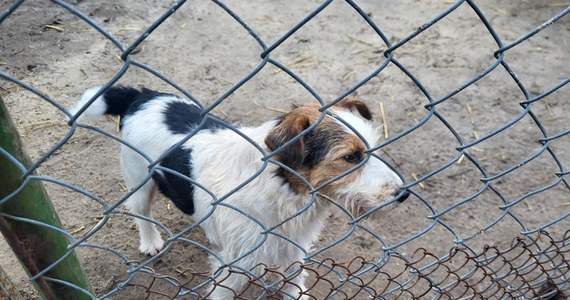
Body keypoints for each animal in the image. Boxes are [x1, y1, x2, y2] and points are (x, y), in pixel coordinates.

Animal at [70, 85, 408, 298]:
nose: (404, 194)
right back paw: (151, 241)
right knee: (140, 212)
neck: (282, 190)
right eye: (351, 157)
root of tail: (143, 97)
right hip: (138, 177)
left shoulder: (292, 250)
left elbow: (294, 281)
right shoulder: (233, 269)